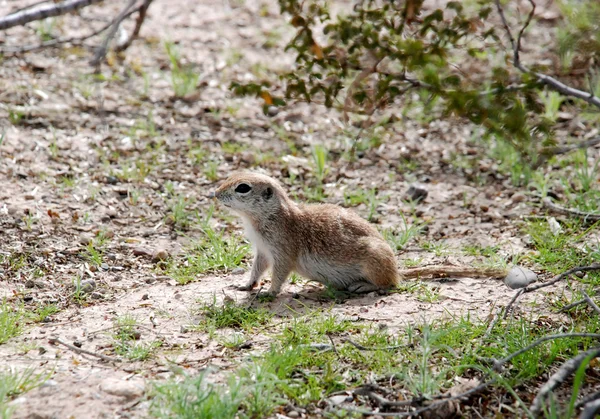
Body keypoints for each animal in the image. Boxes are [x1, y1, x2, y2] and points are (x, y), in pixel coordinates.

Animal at [213, 172, 508, 296]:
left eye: (242, 187)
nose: (213, 194)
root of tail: (396, 268)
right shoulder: (263, 250)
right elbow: (257, 268)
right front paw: (245, 285)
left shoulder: (283, 248)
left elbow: (280, 273)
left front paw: (269, 293)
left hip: (375, 261)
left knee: (391, 285)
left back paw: (363, 286)